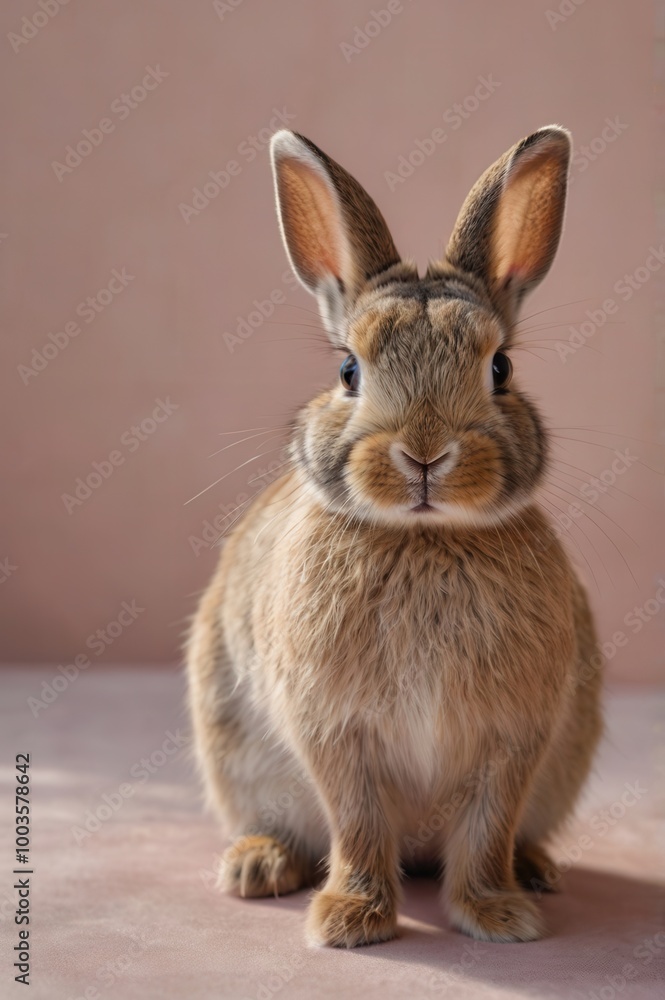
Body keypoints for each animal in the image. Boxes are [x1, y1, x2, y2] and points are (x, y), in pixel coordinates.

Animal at [187, 125, 603, 948]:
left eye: (501, 367)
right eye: (349, 370)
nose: (424, 453)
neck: (423, 539)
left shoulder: (513, 738)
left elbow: (485, 828)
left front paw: (499, 916)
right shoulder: (335, 733)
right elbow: (356, 823)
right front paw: (349, 921)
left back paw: (537, 870)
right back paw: (256, 866)